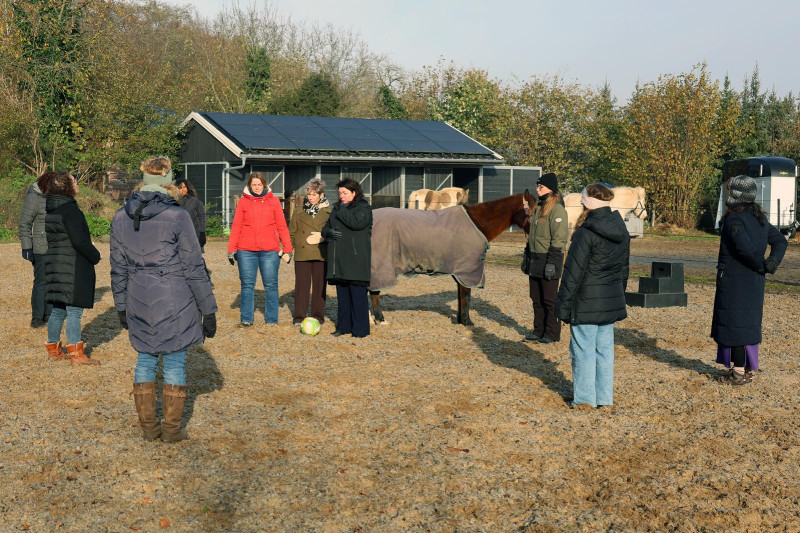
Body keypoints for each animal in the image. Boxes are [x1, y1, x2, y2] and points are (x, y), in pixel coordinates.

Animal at [370, 190, 534, 326]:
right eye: (533, 211)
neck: (477, 222)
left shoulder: (460, 272)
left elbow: (461, 296)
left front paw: (461, 320)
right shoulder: (467, 270)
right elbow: (466, 296)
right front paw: (467, 322)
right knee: (374, 292)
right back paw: (380, 319)